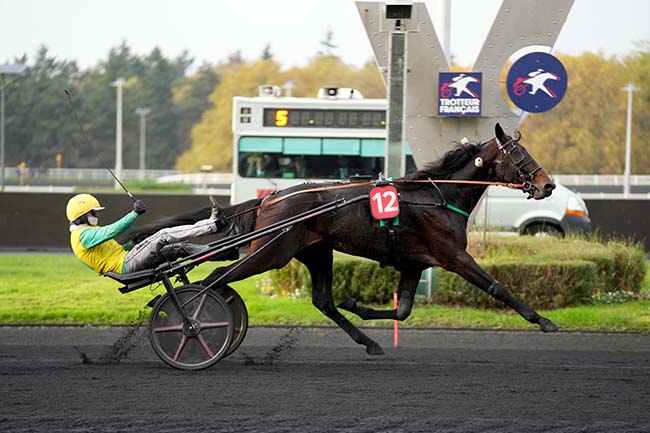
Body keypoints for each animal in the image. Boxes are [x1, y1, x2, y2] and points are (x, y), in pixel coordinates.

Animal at [130, 123, 556, 352]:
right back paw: (187, 320)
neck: (436, 196)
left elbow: (403, 310)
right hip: (270, 253)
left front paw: (360, 305)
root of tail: (272, 198)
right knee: (213, 281)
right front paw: (544, 321)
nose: (548, 185)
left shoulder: (414, 262)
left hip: (315, 252)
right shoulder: (452, 256)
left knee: (322, 301)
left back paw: (368, 341)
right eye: (520, 155)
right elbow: (498, 287)